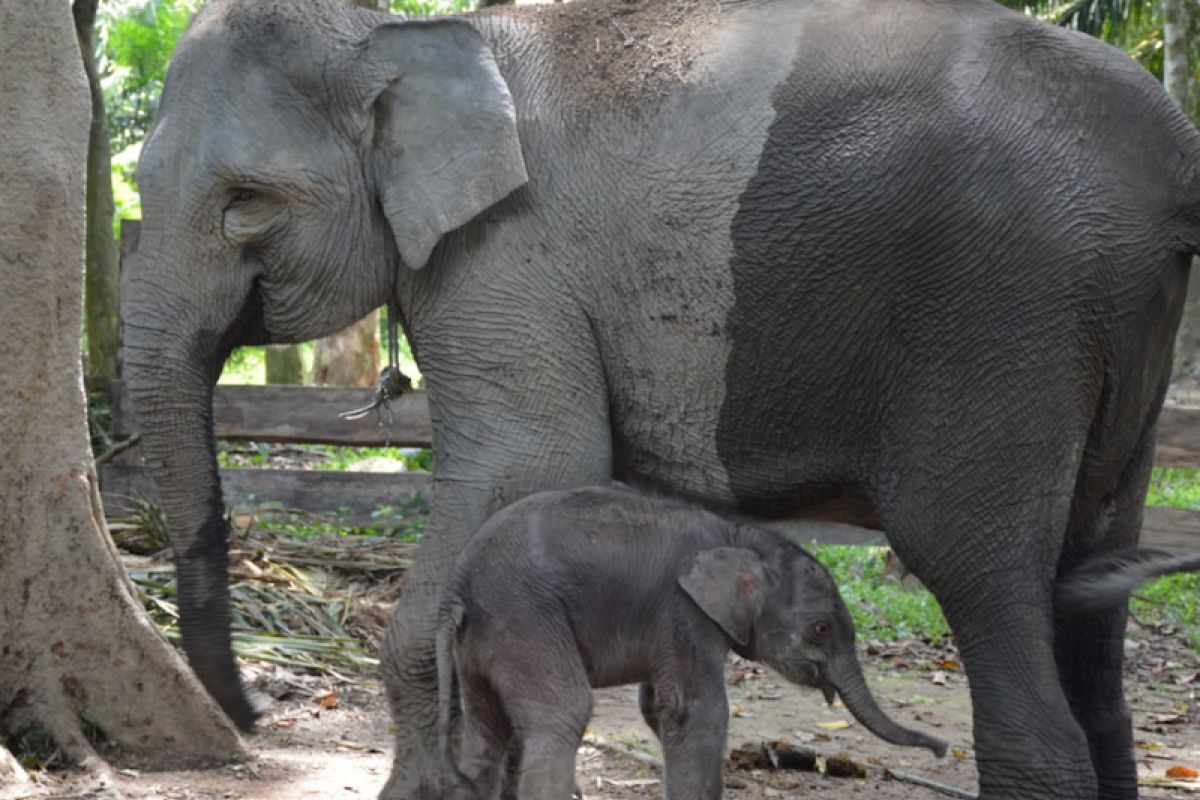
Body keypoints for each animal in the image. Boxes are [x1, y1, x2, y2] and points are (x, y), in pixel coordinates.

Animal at [439, 484, 945, 796]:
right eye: (821, 628)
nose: (942, 750)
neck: (740, 535)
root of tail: (457, 588)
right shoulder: (684, 610)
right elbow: (696, 711)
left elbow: (658, 708)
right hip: (525, 618)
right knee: (563, 715)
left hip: (483, 641)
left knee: (485, 735)